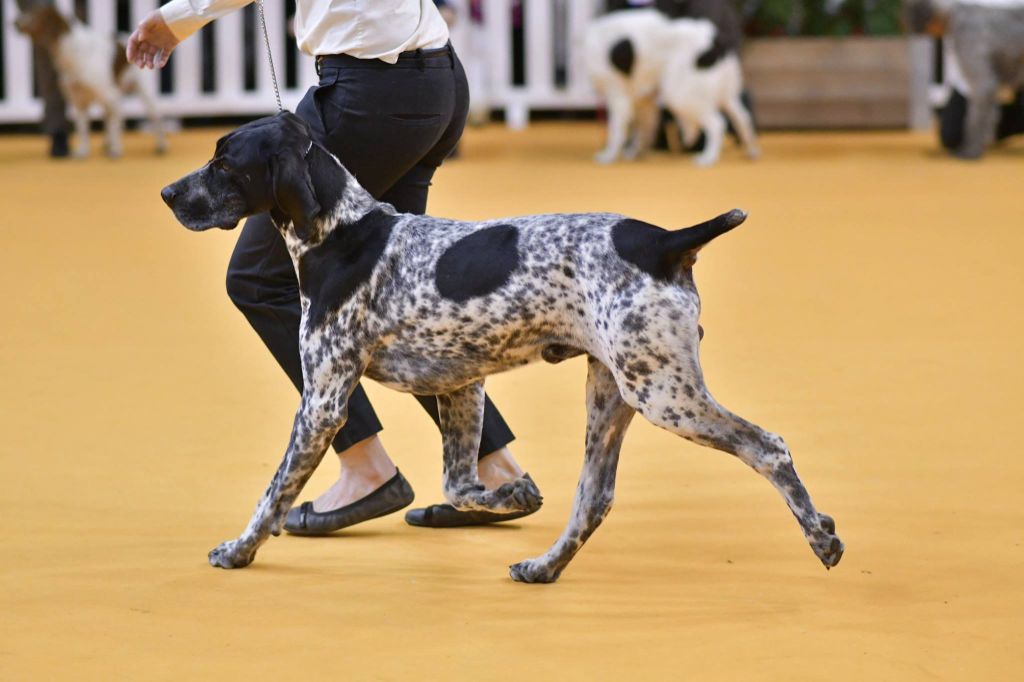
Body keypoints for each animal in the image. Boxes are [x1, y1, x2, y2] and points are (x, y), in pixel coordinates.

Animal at [15, 5, 165, 157]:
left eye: (34, 13)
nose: (14, 22)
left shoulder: (110, 95)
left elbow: (114, 124)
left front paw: (116, 149)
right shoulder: (78, 101)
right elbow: (83, 130)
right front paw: (83, 151)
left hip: (143, 92)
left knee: (154, 118)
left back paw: (160, 145)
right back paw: (107, 144)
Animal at [163, 114, 843, 581]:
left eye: (224, 162)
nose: (169, 193)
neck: (341, 233)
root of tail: (666, 241)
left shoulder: (323, 403)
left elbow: (272, 494)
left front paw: (239, 549)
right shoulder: (462, 387)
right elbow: (460, 483)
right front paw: (511, 495)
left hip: (665, 395)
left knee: (769, 447)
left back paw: (821, 538)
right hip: (612, 399)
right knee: (593, 500)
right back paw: (544, 567)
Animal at [581, 10, 757, 165]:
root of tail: (715, 41)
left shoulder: (617, 96)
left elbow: (616, 131)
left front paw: (608, 156)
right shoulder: (643, 100)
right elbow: (644, 130)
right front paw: (635, 153)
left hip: (679, 95)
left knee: (717, 124)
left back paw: (708, 158)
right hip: (725, 96)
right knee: (743, 119)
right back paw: (751, 151)